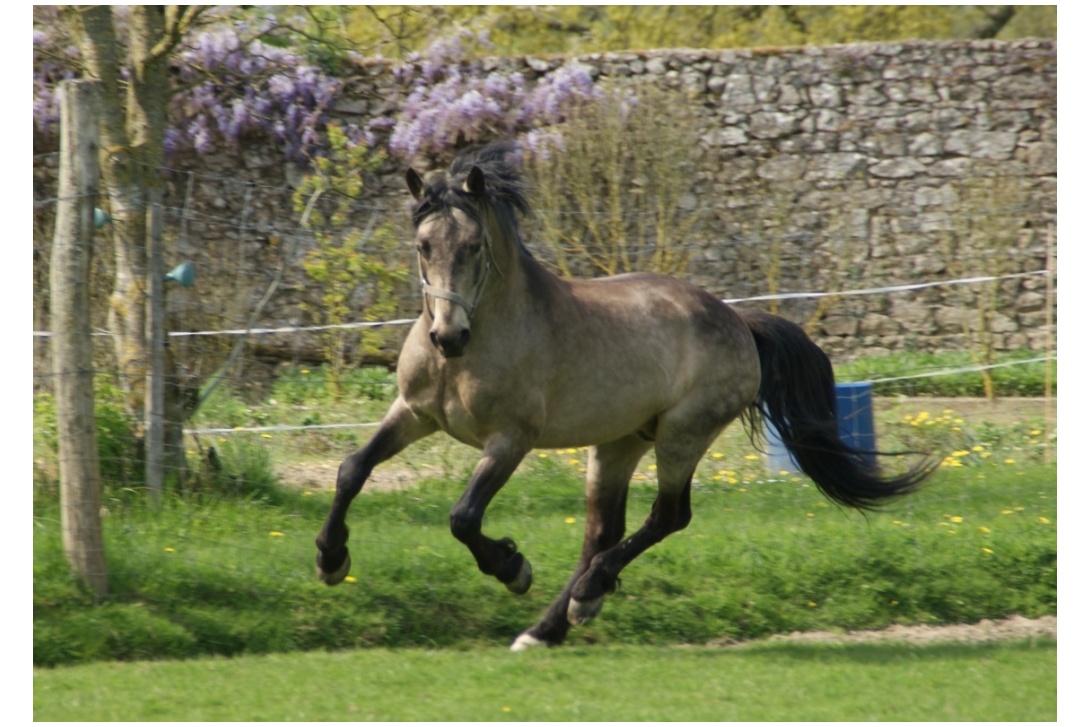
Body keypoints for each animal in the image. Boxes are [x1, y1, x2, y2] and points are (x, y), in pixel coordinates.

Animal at [311, 140, 933, 649]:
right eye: (422, 245)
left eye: (473, 245)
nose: (448, 336)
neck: (479, 343)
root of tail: (738, 319)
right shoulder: (414, 413)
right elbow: (352, 470)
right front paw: (331, 559)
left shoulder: (511, 440)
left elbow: (463, 517)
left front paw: (513, 567)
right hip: (619, 443)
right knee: (601, 532)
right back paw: (549, 626)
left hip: (683, 434)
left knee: (668, 515)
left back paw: (587, 595)